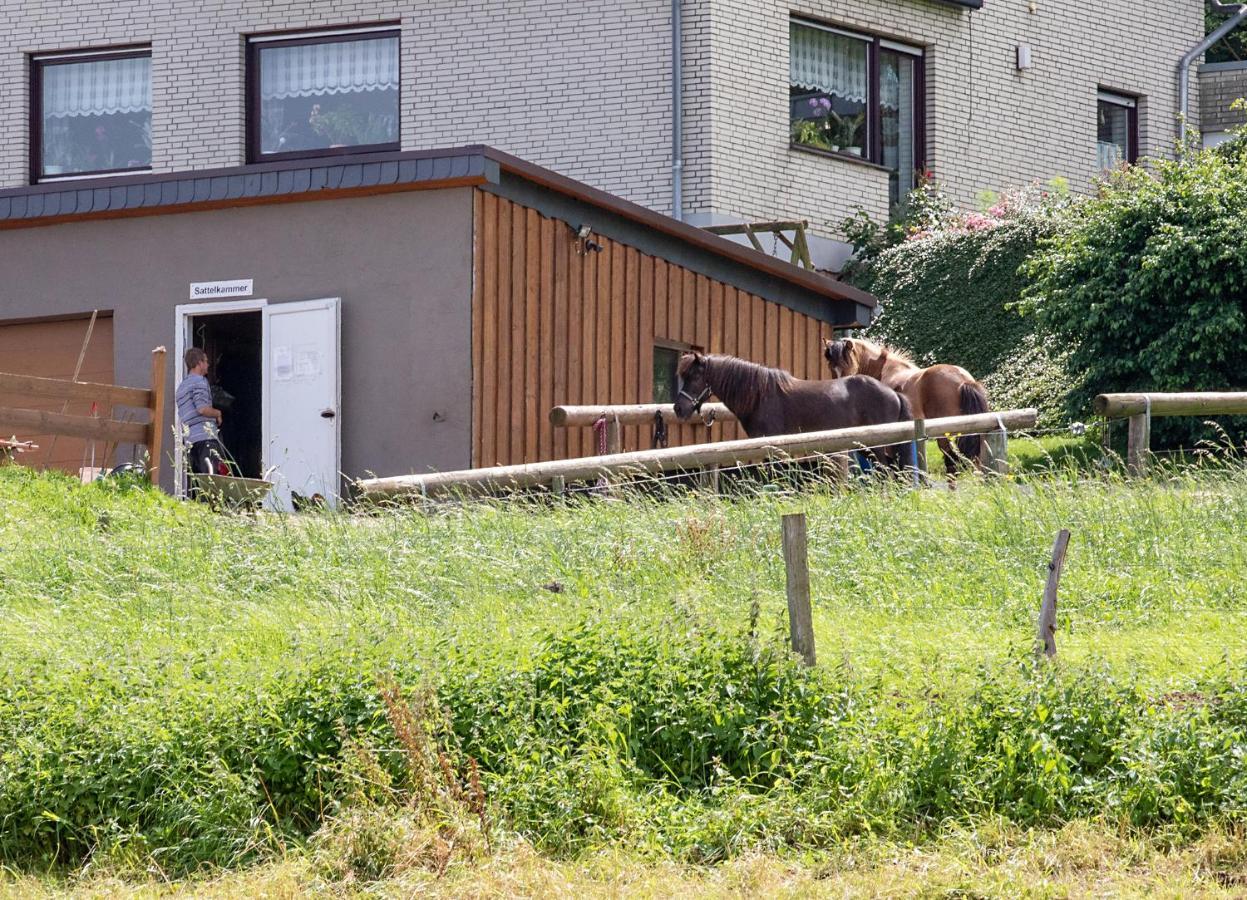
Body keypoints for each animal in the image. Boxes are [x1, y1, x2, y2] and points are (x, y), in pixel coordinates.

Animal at [678, 349, 912, 466]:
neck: (760, 396)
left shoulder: (774, 447)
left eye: (695, 376)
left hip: (878, 445)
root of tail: (894, 393)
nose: (679, 409)